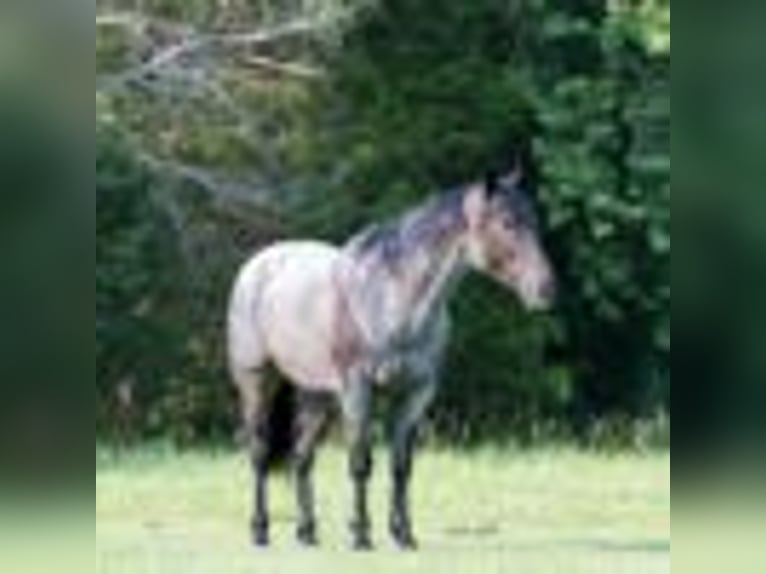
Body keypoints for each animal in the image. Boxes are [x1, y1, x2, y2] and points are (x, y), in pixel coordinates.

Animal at [226, 167, 556, 551]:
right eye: (507, 223)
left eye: (534, 220)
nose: (546, 289)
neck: (391, 297)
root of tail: (256, 266)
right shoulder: (359, 389)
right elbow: (360, 462)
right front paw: (361, 534)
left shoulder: (416, 393)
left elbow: (401, 466)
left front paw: (404, 534)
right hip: (257, 382)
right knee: (260, 452)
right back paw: (260, 530)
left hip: (318, 396)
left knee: (302, 456)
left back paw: (307, 532)